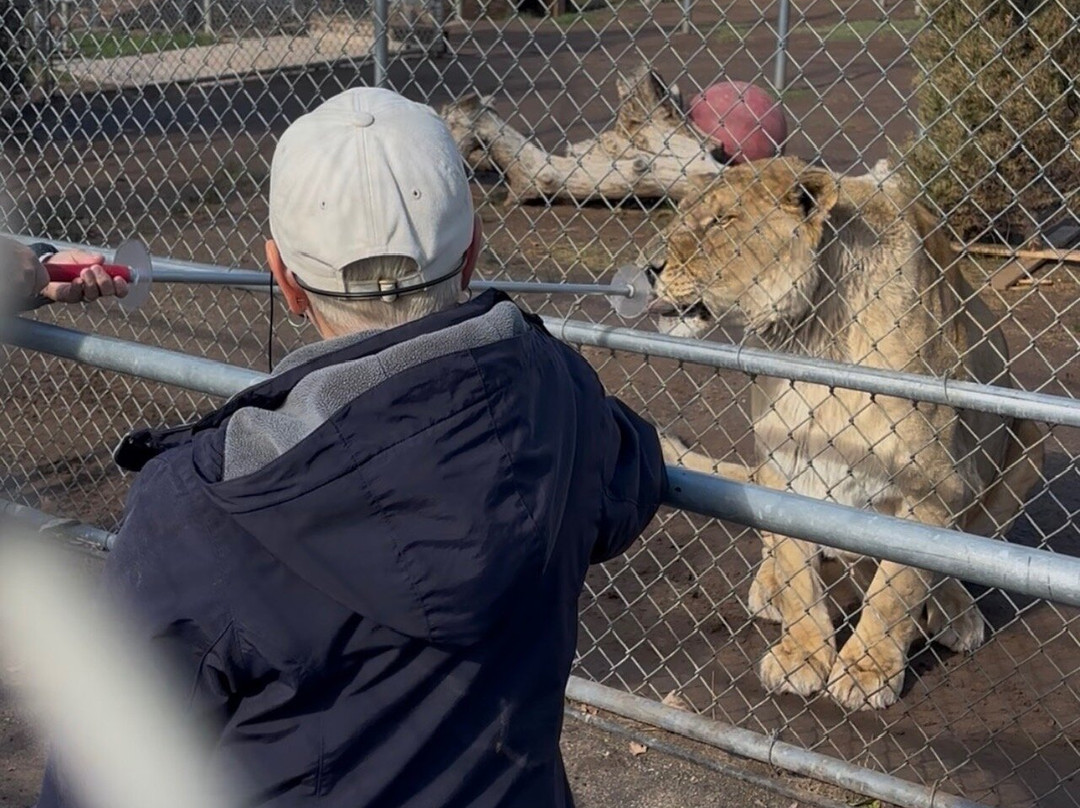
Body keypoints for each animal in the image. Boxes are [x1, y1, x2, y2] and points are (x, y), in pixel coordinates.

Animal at [646, 158, 1045, 711]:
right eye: (683, 214)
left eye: (723, 220)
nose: (650, 267)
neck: (812, 335)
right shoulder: (782, 461)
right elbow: (797, 570)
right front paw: (802, 656)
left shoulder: (930, 487)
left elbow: (896, 590)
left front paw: (866, 669)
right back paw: (769, 588)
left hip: (1031, 439)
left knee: (951, 561)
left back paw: (955, 613)